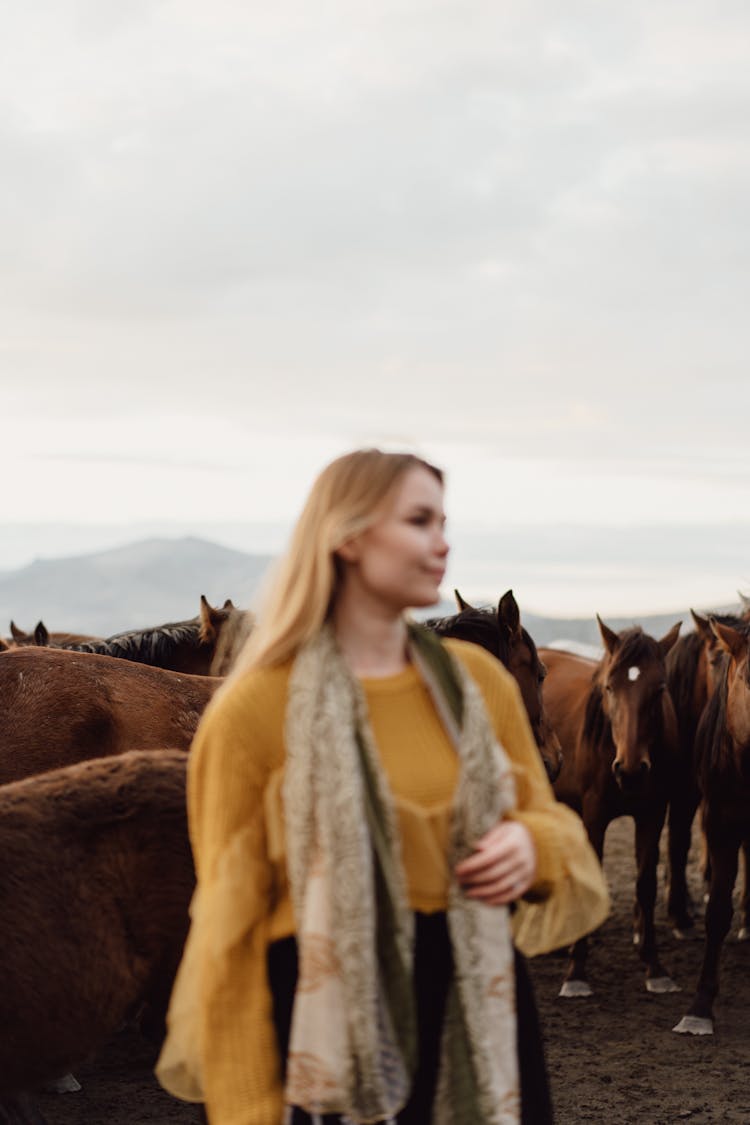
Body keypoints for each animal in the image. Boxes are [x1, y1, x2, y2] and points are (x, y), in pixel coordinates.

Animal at [541, 621, 683, 999]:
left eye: (659, 688)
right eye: (609, 687)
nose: (630, 770)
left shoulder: (653, 815)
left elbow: (645, 884)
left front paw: (655, 968)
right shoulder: (594, 815)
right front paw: (576, 972)